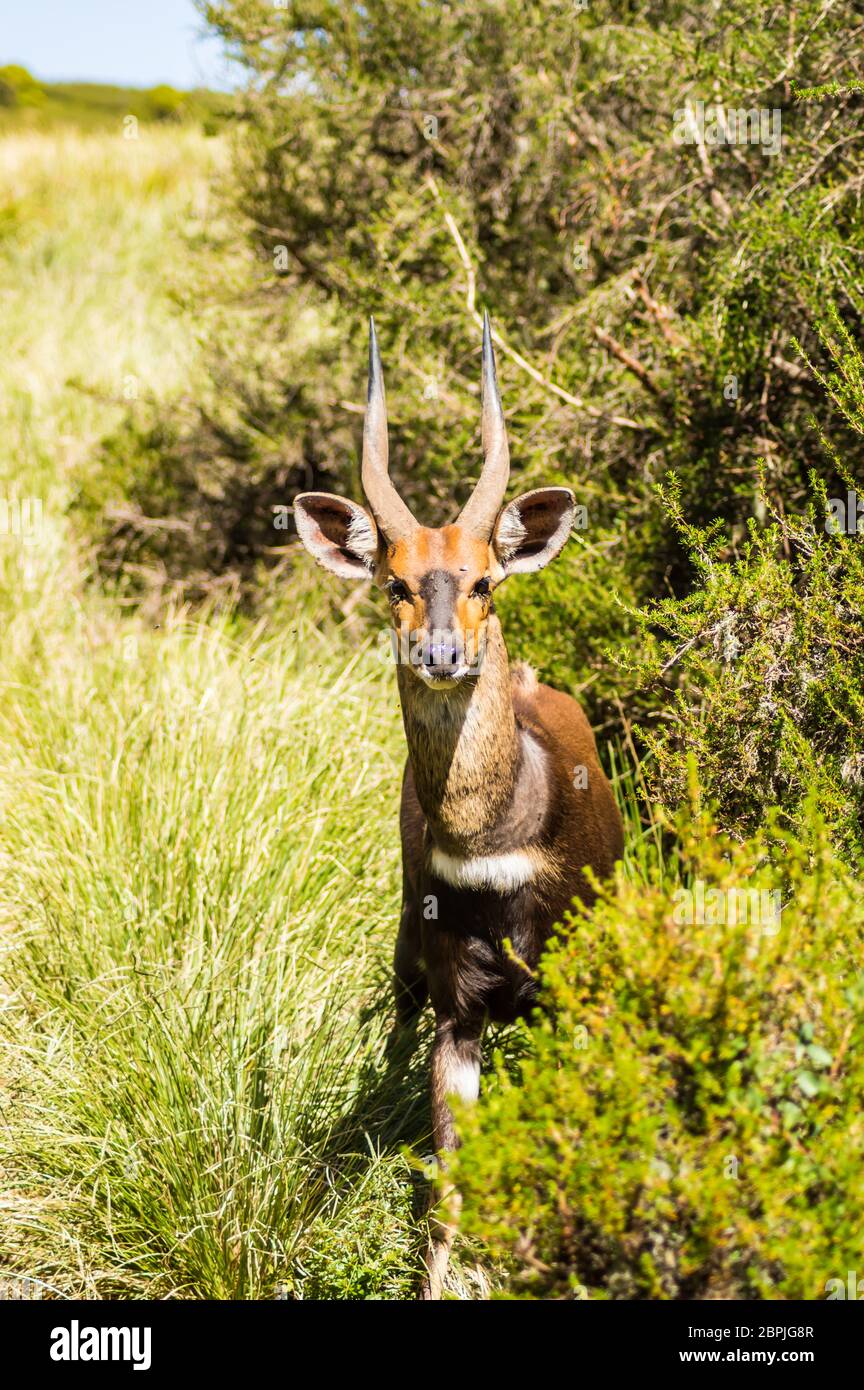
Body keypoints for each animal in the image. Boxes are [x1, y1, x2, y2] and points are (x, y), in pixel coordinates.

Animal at [294, 312, 625, 1289]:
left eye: (484, 580)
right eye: (394, 581)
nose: (442, 653)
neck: (501, 844)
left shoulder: (573, 989)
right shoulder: (458, 1006)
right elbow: (446, 1194)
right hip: (409, 946)